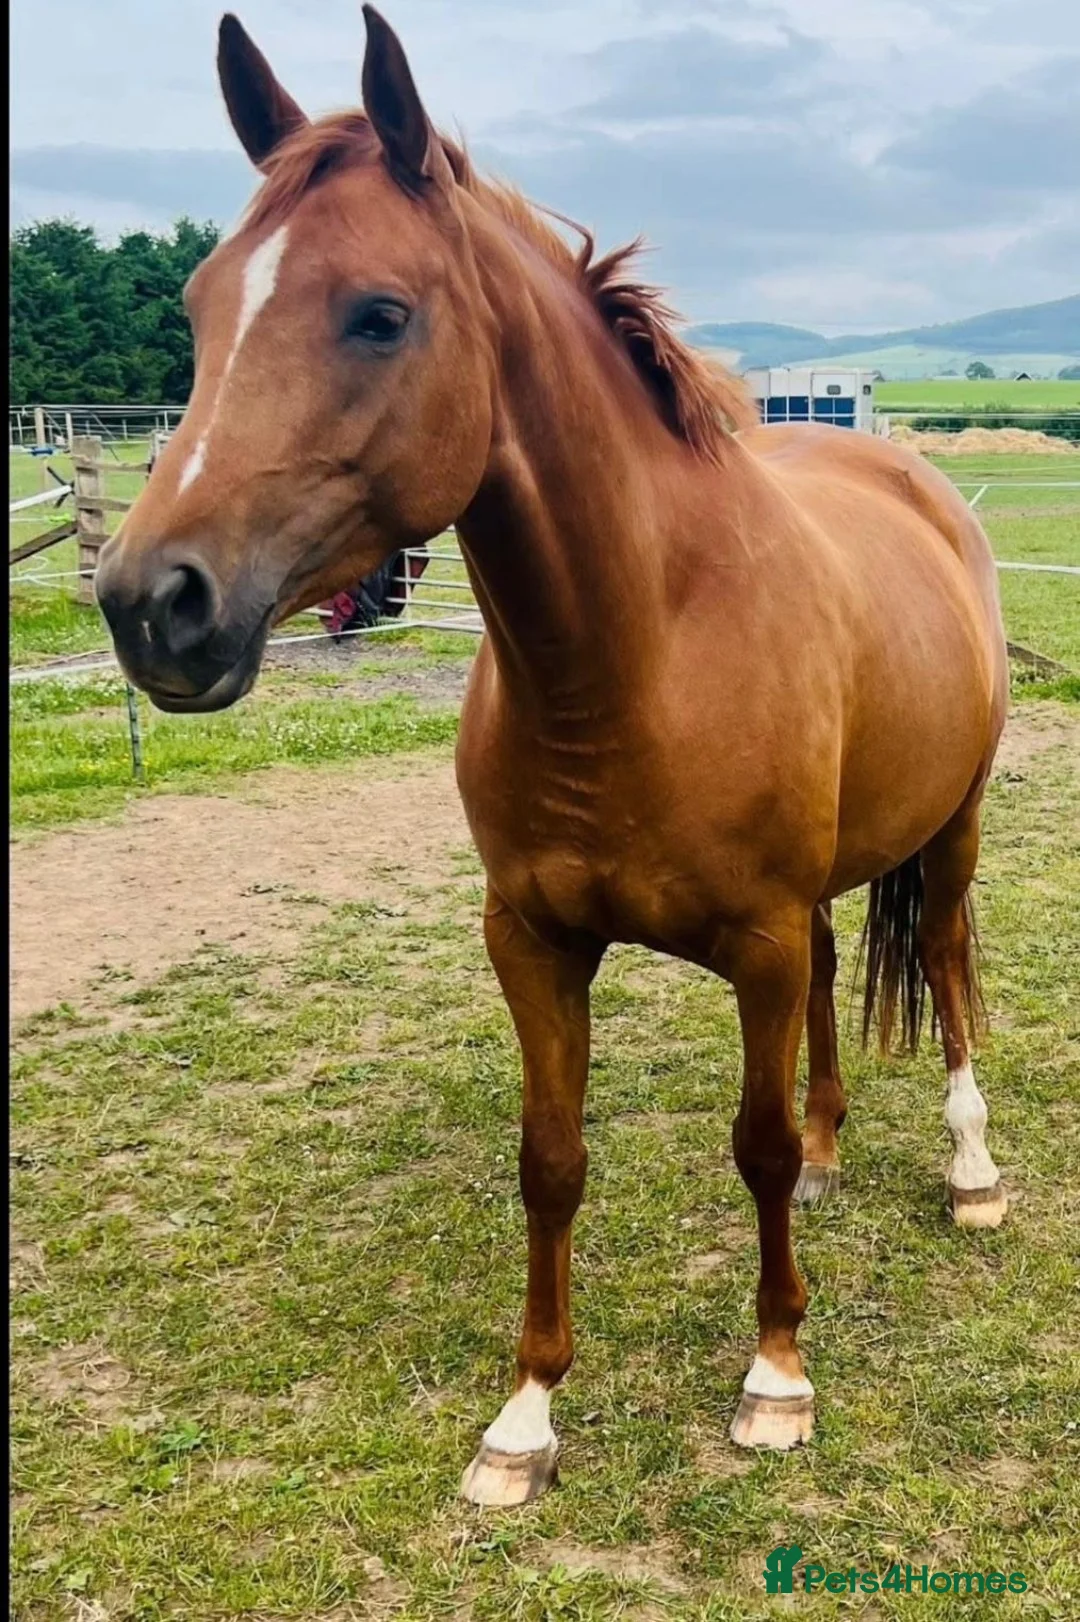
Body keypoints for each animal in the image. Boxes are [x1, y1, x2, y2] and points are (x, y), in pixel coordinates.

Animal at [94, 7, 1010, 1507]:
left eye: (380, 312)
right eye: (199, 306)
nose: (149, 603)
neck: (638, 655)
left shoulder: (754, 941)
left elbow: (749, 1146)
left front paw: (777, 1374)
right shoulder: (530, 938)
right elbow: (551, 1157)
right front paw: (524, 1414)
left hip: (957, 827)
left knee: (941, 964)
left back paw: (972, 1167)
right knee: (839, 976)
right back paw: (835, 1148)